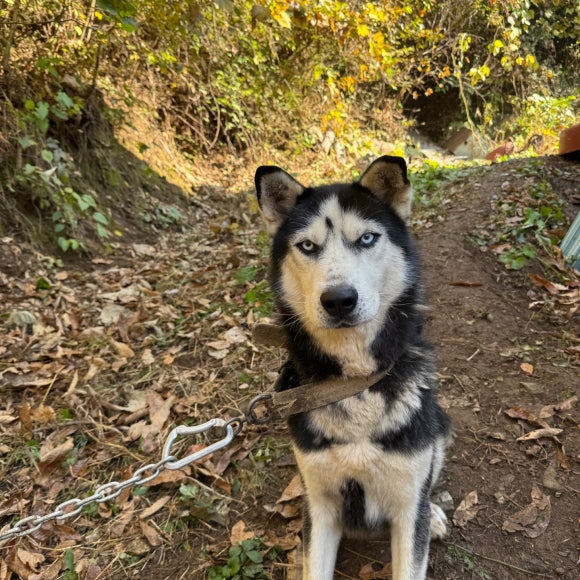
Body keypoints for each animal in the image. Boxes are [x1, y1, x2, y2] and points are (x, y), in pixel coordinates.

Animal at [255, 155, 454, 580]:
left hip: (438, 431)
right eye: (307, 246)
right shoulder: (320, 508)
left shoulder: (408, 508)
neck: (356, 384)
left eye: (366, 239)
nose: (339, 300)